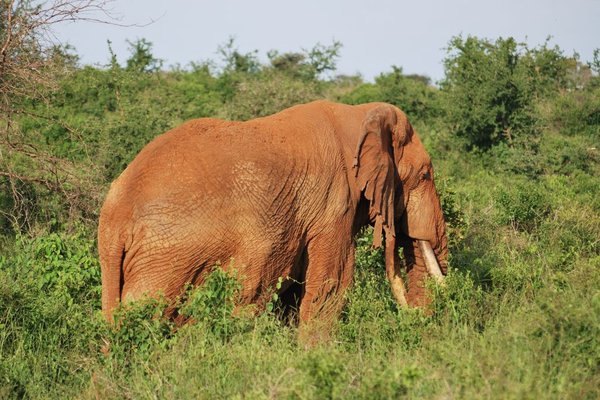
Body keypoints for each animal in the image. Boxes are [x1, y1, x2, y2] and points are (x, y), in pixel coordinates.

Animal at [97, 100, 446, 324]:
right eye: (425, 176)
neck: (357, 114)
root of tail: (117, 218)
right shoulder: (333, 203)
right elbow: (330, 286)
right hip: (168, 256)